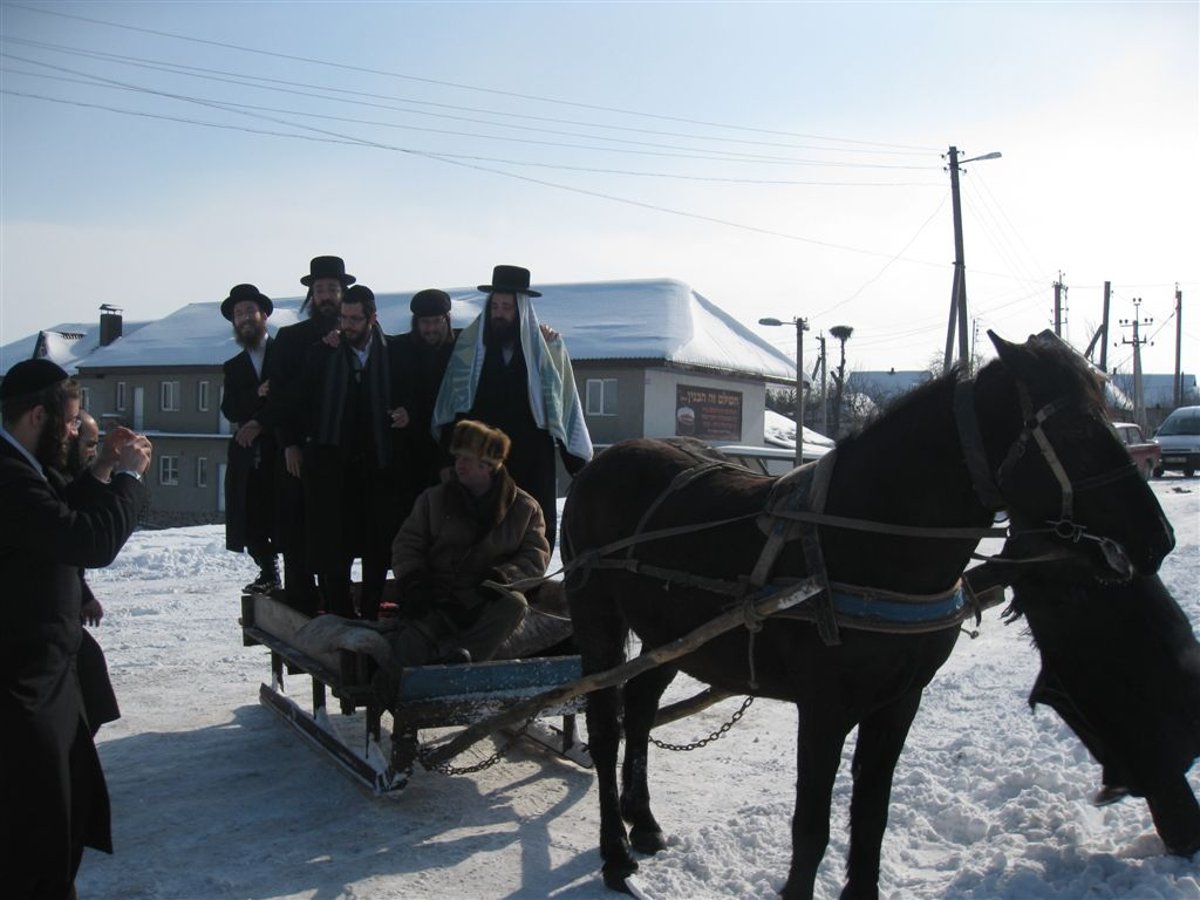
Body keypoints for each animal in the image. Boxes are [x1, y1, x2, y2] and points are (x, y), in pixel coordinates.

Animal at [566, 333, 1176, 900]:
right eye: (1078, 431)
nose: (1159, 540)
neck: (865, 540)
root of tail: (603, 461)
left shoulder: (900, 700)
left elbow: (871, 814)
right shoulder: (824, 707)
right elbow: (812, 825)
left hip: (670, 635)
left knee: (639, 709)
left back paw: (643, 821)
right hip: (599, 620)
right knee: (604, 727)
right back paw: (614, 854)